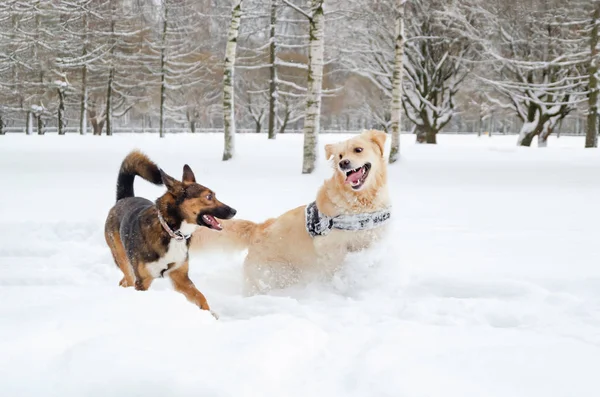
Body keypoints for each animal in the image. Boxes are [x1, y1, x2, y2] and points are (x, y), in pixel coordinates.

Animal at [104, 150, 236, 314]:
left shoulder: (180, 277)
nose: (234, 211)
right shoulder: (143, 281)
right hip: (123, 259)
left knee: (124, 281)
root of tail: (124, 198)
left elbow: (200, 297)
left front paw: (210, 315)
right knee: (127, 278)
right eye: (208, 196)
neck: (172, 232)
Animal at [190, 130, 392, 294]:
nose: (344, 163)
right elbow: (335, 268)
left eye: (358, 150)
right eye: (340, 155)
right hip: (277, 274)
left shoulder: (373, 237)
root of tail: (258, 228)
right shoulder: (331, 247)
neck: (360, 201)